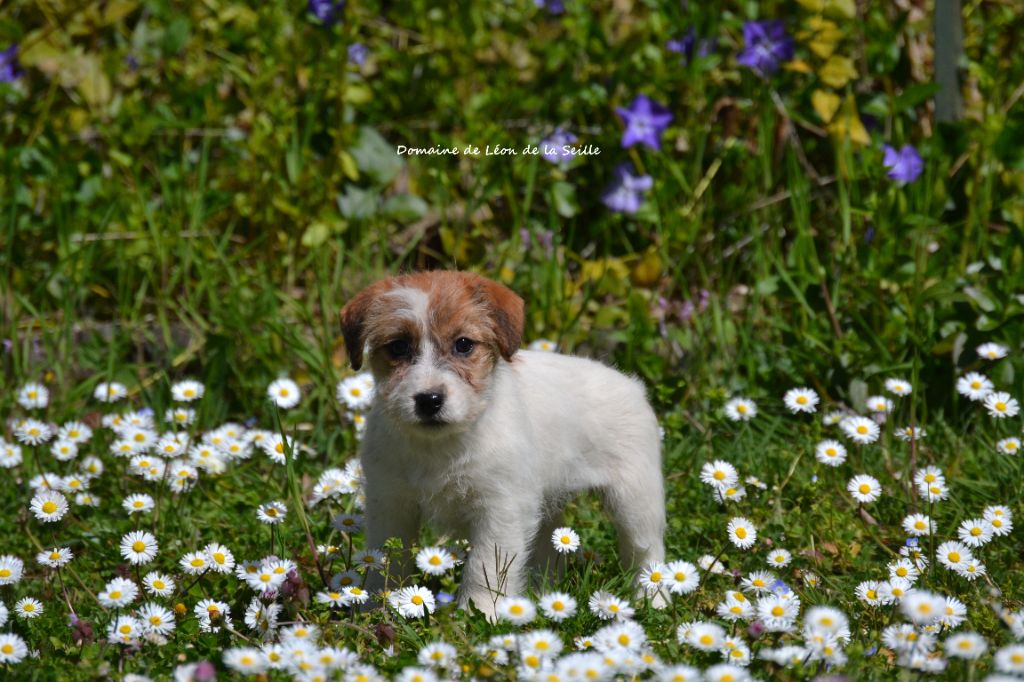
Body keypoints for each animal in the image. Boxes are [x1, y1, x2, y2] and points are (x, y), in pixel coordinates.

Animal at [340, 270, 666, 618]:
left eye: (463, 344)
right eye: (399, 347)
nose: (429, 400)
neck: (441, 445)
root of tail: (631, 384)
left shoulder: (501, 509)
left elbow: (484, 567)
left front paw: (479, 614)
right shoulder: (390, 504)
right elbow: (385, 559)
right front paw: (377, 607)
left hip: (635, 500)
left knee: (647, 551)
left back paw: (654, 600)